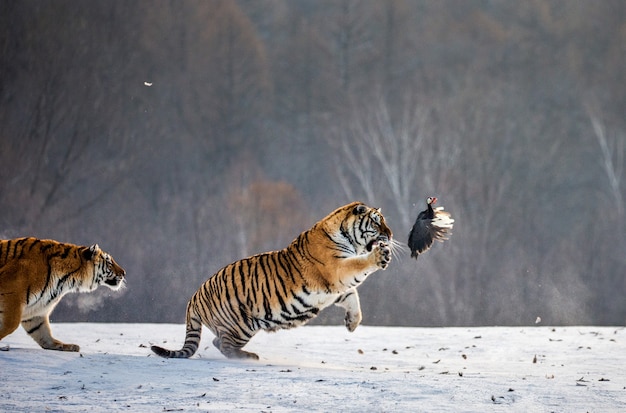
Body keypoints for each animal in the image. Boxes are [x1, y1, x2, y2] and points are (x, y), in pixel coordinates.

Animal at [152, 201, 392, 358]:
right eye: (376, 223)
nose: (390, 235)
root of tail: (194, 296)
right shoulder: (338, 270)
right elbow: (359, 266)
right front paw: (379, 255)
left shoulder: (336, 289)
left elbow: (353, 297)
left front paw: (352, 323)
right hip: (241, 324)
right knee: (225, 345)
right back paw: (249, 356)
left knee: (217, 341)